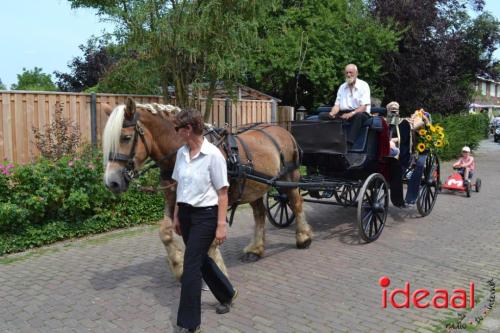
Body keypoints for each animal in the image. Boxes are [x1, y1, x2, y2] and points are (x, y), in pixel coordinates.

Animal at [101, 98, 312, 280]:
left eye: (126, 137)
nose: (111, 182)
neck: (182, 151)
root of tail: (282, 129)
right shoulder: (172, 197)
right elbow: (165, 233)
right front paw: (179, 267)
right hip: (255, 188)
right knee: (260, 214)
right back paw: (255, 250)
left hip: (289, 178)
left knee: (297, 203)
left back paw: (303, 237)